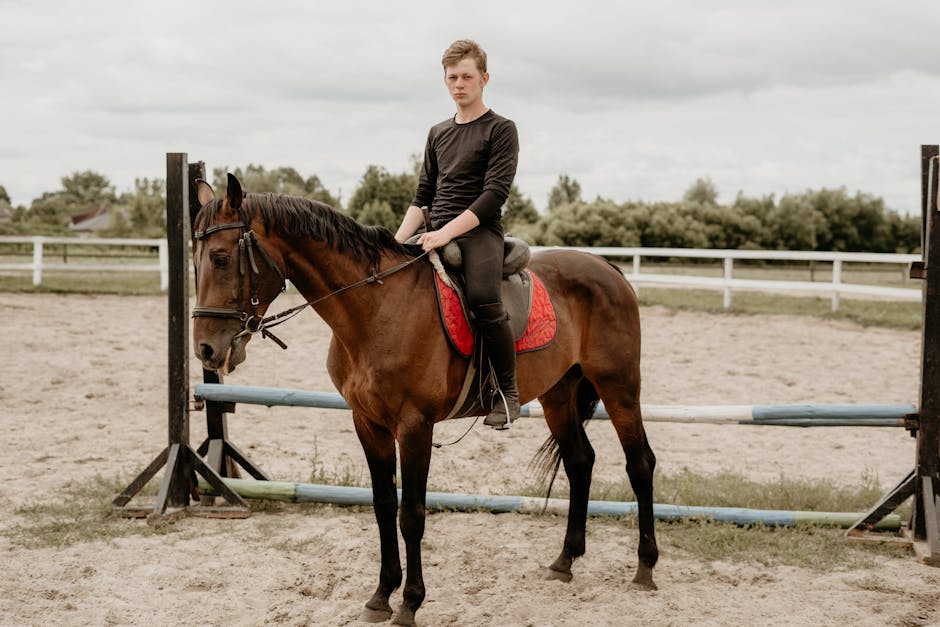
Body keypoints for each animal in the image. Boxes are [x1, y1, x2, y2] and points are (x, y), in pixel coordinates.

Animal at [191, 174, 658, 626]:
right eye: (195, 262)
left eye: (220, 258)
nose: (206, 351)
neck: (375, 308)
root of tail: (606, 266)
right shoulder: (368, 423)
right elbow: (383, 507)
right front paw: (380, 596)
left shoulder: (414, 425)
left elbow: (411, 514)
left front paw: (410, 604)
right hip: (558, 395)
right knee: (580, 462)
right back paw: (565, 561)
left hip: (619, 387)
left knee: (640, 464)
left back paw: (645, 568)